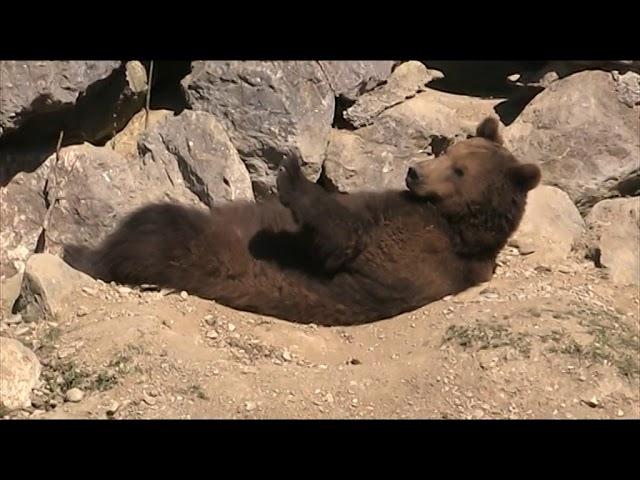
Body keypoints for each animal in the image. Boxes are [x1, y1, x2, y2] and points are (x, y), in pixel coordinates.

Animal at [62, 117, 540, 326]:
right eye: (449, 150)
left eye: (459, 170)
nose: (414, 171)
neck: (454, 223)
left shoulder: (416, 251)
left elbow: (340, 242)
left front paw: (292, 174)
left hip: (195, 249)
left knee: (153, 228)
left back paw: (81, 252)